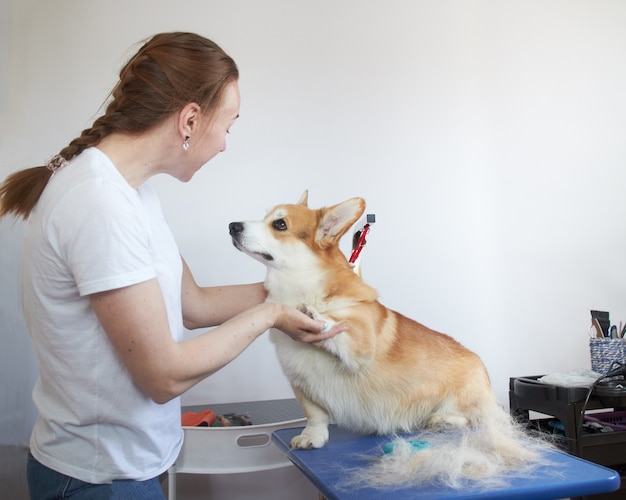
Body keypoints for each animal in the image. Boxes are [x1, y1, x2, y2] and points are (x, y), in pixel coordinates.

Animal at [227, 192, 544, 488]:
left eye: (279, 224)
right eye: (266, 217)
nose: (232, 226)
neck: (298, 288)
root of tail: (481, 366)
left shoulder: (361, 348)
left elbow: (339, 327)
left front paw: (315, 314)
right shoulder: (302, 383)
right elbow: (315, 415)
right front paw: (311, 437)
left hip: (473, 404)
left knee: (480, 420)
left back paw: (444, 420)